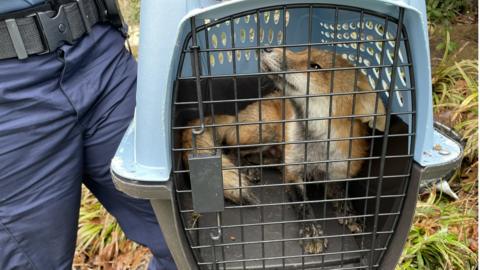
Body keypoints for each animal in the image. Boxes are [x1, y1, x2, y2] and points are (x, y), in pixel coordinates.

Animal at [182, 48, 388, 253]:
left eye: (315, 66)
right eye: (302, 50)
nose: (267, 48)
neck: (317, 148)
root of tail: (236, 116)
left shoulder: (337, 172)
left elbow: (341, 193)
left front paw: (350, 213)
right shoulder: (293, 173)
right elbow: (303, 204)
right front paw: (311, 232)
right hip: (266, 130)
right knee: (232, 150)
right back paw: (247, 169)